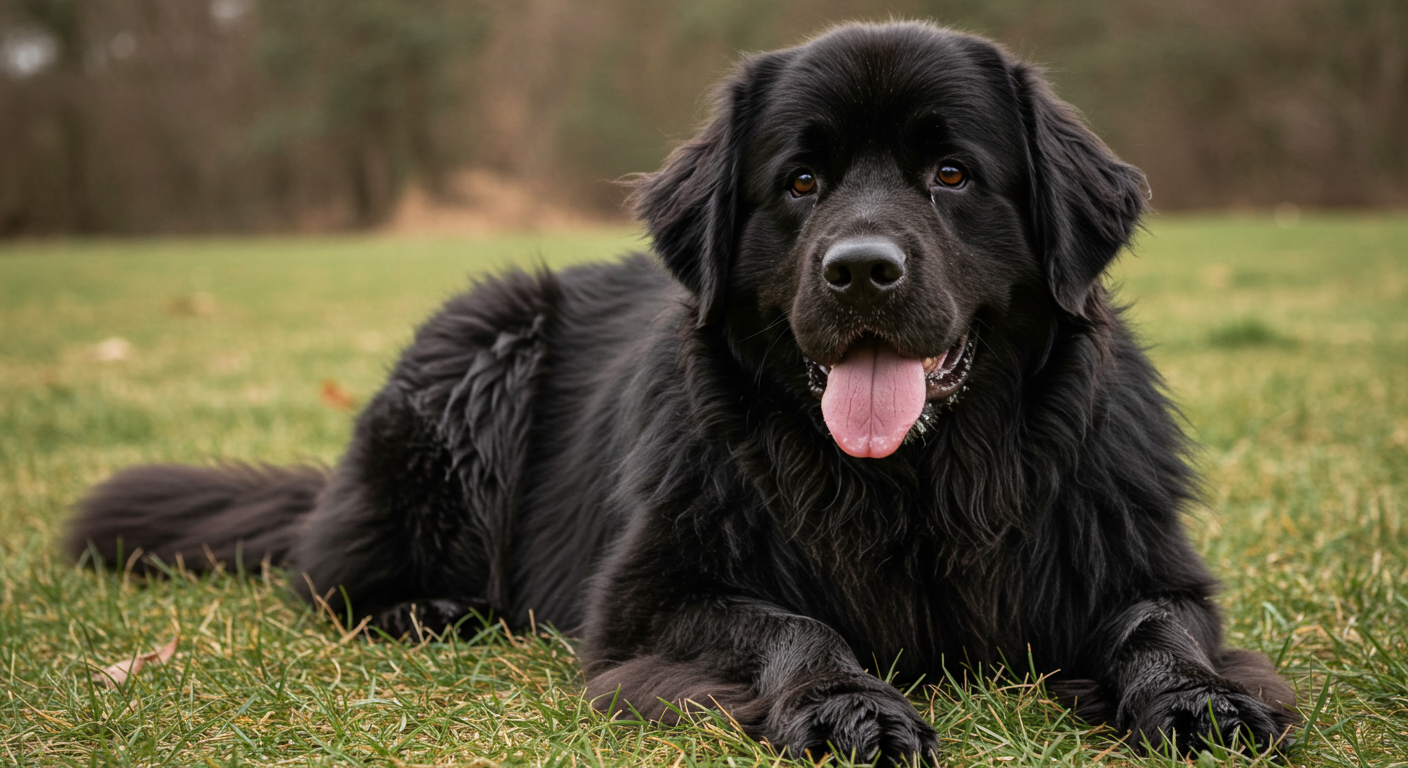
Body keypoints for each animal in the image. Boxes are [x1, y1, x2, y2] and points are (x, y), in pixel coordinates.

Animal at [66, 22, 1295, 760]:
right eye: (799, 182)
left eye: (952, 173)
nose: (860, 270)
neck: (916, 483)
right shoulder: (644, 601)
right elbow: (788, 620)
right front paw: (846, 706)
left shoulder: (1131, 556)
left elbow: (1155, 624)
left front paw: (1196, 697)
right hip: (480, 349)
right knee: (330, 576)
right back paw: (432, 611)